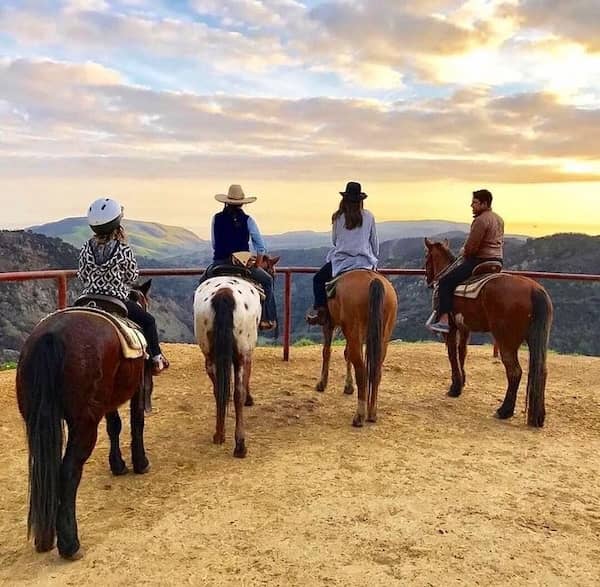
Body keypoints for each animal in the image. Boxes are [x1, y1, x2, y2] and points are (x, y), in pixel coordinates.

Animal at [17, 280, 157, 560]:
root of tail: (52, 336)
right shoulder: (137, 388)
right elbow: (136, 423)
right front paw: (140, 463)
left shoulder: (108, 400)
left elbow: (115, 426)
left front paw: (118, 465)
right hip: (84, 423)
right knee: (69, 470)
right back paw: (69, 543)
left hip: (35, 420)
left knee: (44, 470)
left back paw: (45, 539)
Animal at [193, 255, 280, 458]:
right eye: (272, 272)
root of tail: (224, 292)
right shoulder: (248, 352)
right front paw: (250, 399)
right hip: (241, 353)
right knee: (238, 392)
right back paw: (240, 445)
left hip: (210, 356)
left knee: (218, 390)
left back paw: (219, 434)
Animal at [314, 270, 398, 428]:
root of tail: (373, 279)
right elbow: (346, 354)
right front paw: (348, 385)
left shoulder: (329, 323)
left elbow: (327, 351)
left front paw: (322, 383)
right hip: (383, 336)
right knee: (376, 371)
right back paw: (372, 412)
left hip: (353, 330)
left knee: (361, 369)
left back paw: (359, 415)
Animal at [424, 239, 556, 428]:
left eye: (427, 257)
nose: (428, 279)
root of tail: (534, 290)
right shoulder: (465, 328)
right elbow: (462, 352)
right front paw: (462, 383)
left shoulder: (450, 329)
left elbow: (452, 354)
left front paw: (455, 387)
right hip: (535, 339)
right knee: (542, 372)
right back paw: (538, 417)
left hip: (505, 340)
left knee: (514, 372)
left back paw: (504, 411)